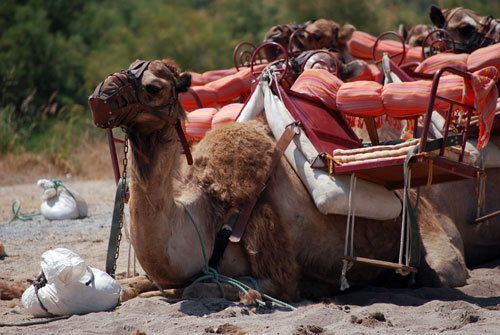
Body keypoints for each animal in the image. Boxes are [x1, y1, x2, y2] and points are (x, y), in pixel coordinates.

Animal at [94, 57, 472, 304]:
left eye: (153, 87)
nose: (101, 94)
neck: (208, 214)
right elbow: (131, 287)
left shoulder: (277, 268)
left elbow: (200, 288)